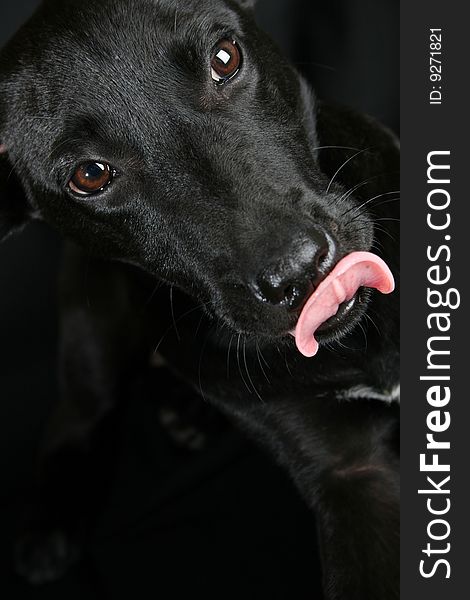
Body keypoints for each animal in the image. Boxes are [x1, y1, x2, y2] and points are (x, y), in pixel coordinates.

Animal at [0, 2, 400, 596]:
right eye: (90, 175)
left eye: (224, 58)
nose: (301, 271)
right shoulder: (350, 472)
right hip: (92, 331)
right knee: (76, 415)